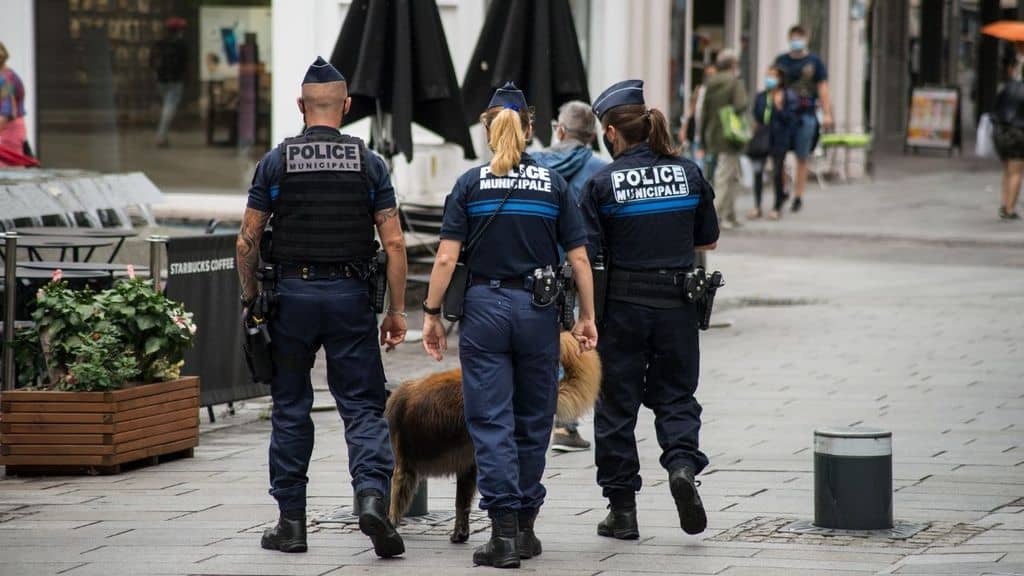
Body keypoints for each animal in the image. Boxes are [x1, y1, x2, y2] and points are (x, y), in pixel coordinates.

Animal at [387, 330, 602, 541]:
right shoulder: (467, 466)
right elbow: (461, 504)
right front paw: (460, 534)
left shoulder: (404, 468)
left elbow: (395, 502)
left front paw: (389, 526)